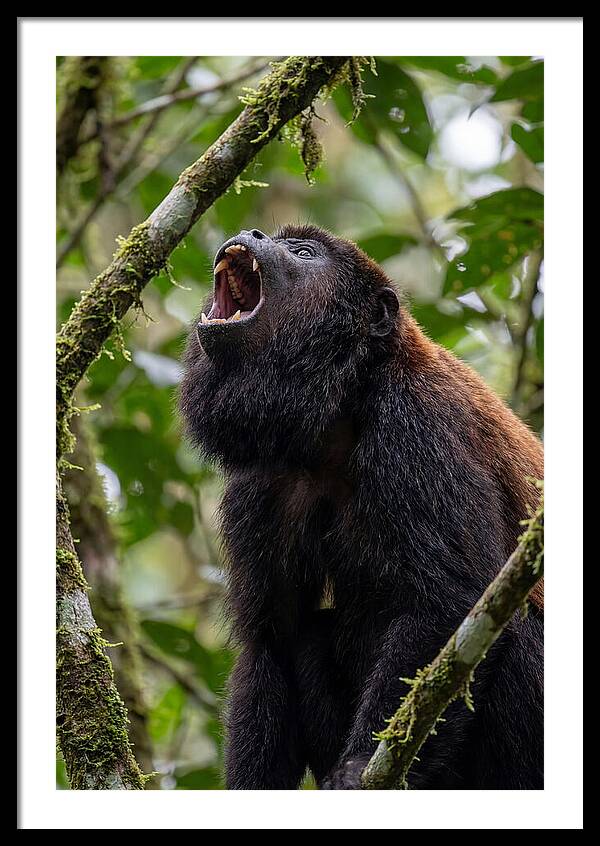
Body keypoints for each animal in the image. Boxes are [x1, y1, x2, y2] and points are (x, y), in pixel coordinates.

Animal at [179, 225, 543, 790]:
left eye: (303, 253)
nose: (252, 232)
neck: (341, 409)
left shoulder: (416, 425)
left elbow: (450, 602)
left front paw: (355, 768)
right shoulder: (261, 482)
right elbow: (272, 639)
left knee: (518, 624)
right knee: (307, 636)